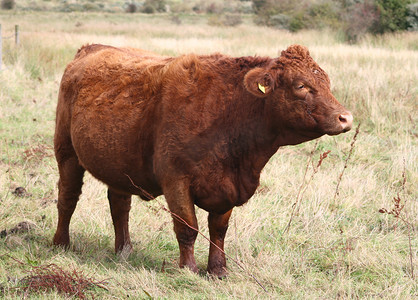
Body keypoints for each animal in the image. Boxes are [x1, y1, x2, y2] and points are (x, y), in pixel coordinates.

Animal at [53, 43, 352, 278]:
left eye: (327, 83)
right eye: (301, 86)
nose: (345, 117)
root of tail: (91, 48)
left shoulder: (227, 187)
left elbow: (218, 230)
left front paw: (218, 270)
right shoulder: (176, 180)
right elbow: (187, 227)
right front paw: (188, 269)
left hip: (119, 164)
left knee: (119, 205)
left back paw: (124, 251)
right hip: (66, 154)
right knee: (67, 199)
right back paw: (61, 243)